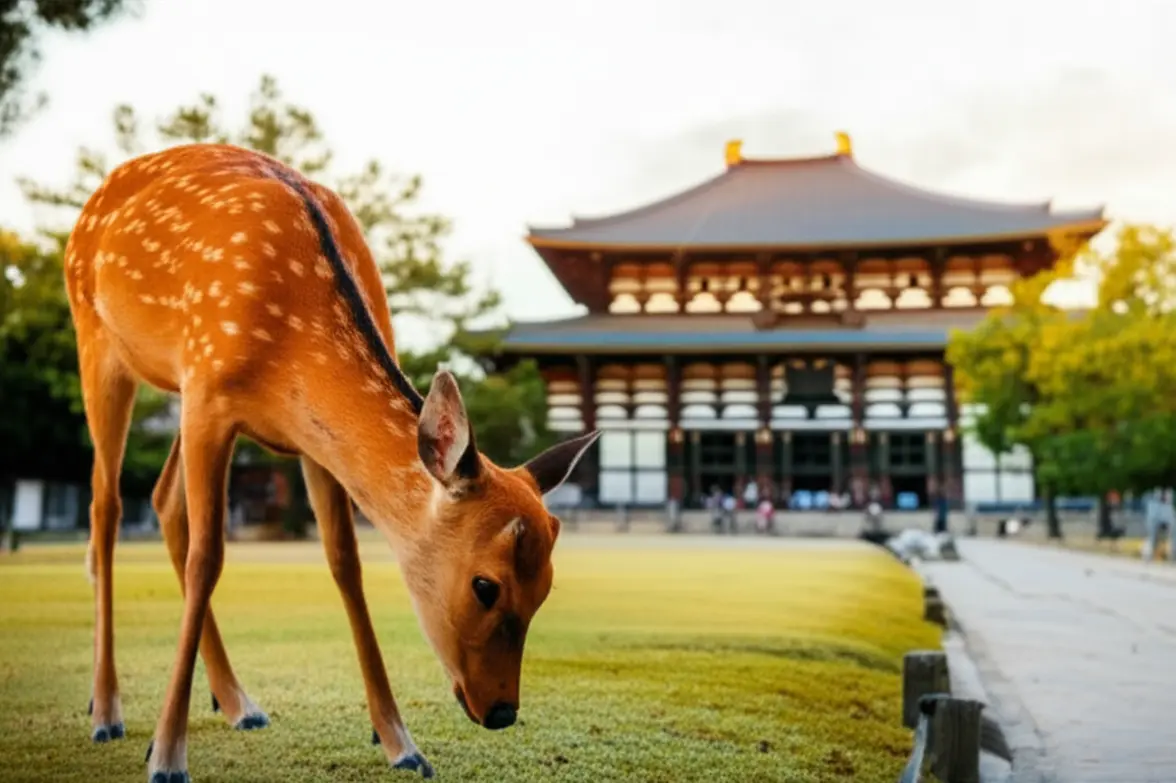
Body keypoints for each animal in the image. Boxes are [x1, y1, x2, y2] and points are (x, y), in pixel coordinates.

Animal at [62, 142, 599, 782]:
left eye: (546, 586)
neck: (288, 348)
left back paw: (238, 703)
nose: (500, 711)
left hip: (176, 387)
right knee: (106, 506)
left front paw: (400, 742)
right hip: (100, 342)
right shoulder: (209, 395)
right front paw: (166, 756)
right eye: (485, 585)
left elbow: (346, 562)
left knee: (164, 500)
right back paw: (105, 711)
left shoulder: (307, 438)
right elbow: (208, 559)